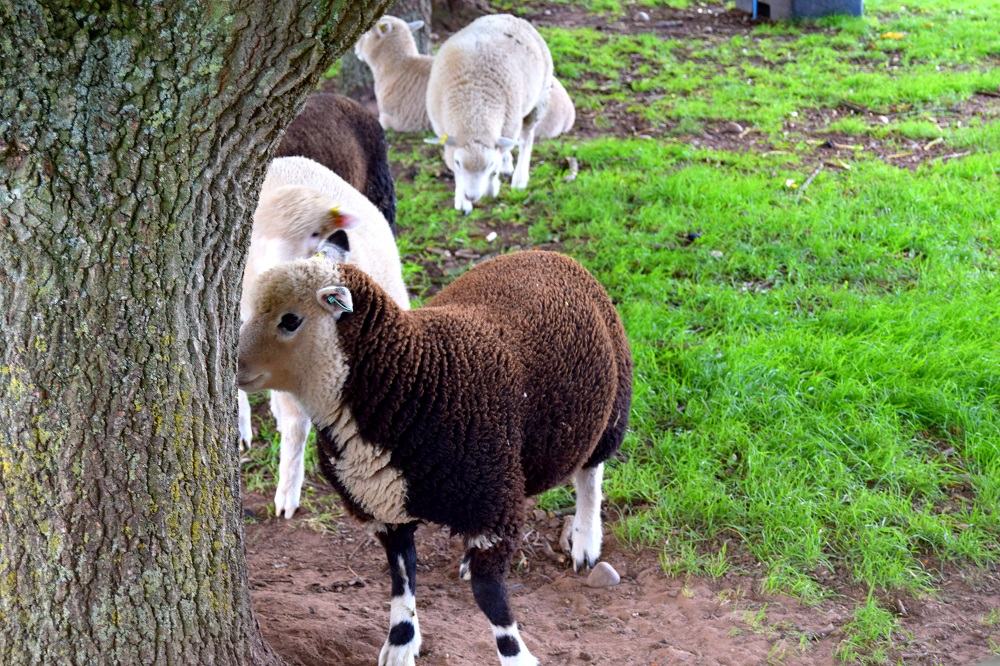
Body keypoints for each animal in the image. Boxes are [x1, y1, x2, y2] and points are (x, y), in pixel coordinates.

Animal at [237, 247, 633, 666]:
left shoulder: (491, 505)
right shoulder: (386, 509)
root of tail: (544, 253)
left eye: (290, 320)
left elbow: (489, 594)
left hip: (610, 409)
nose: (234, 366)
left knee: (591, 474)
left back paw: (586, 539)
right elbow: (402, 578)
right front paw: (400, 642)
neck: (410, 379)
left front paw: (515, 655)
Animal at [425, 14, 554, 214]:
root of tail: (507, 16)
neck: (473, 112)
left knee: (526, 138)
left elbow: (497, 164)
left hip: (539, 99)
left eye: (489, 166)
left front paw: (491, 188)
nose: (472, 196)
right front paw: (461, 200)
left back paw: (519, 178)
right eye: (458, 163)